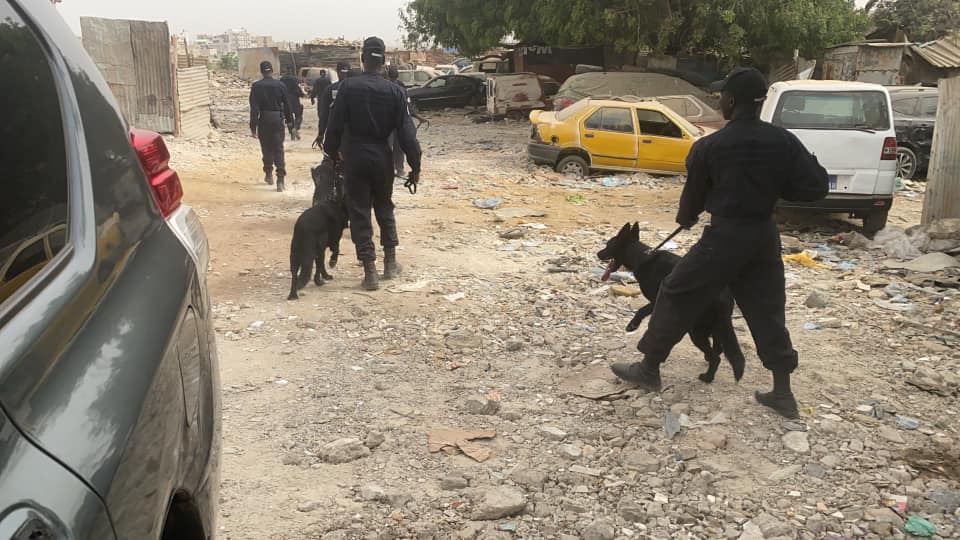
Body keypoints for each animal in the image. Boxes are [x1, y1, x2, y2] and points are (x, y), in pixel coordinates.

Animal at [596, 224, 748, 384]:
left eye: (608, 245)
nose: (598, 254)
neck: (642, 258)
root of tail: (724, 296)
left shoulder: (656, 299)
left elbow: (641, 310)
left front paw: (633, 325)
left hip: (696, 331)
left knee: (716, 357)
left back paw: (707, 377)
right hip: (712, 325)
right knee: (718, 347)